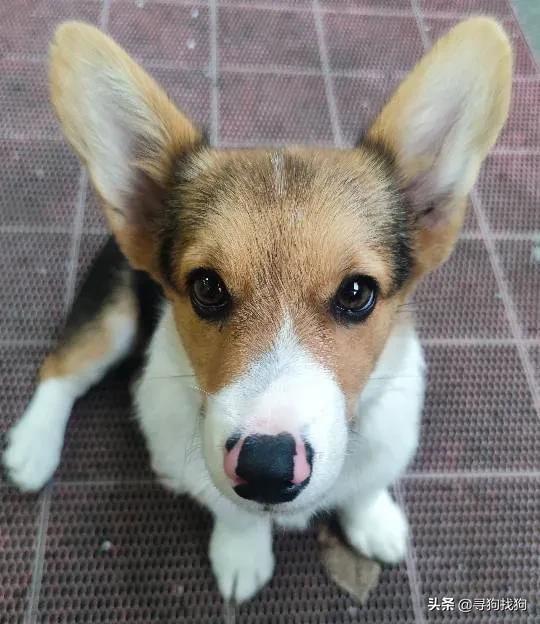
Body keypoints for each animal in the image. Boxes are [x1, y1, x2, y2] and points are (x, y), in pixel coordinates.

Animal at [3, 19, 510, 604]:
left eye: (356, 293)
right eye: (206, 287)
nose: (266, 468)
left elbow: (366, 487)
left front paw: (375, 520)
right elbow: (234, 513)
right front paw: (243, 554)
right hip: (114, 316)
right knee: (63, 368)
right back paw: (33, 448)